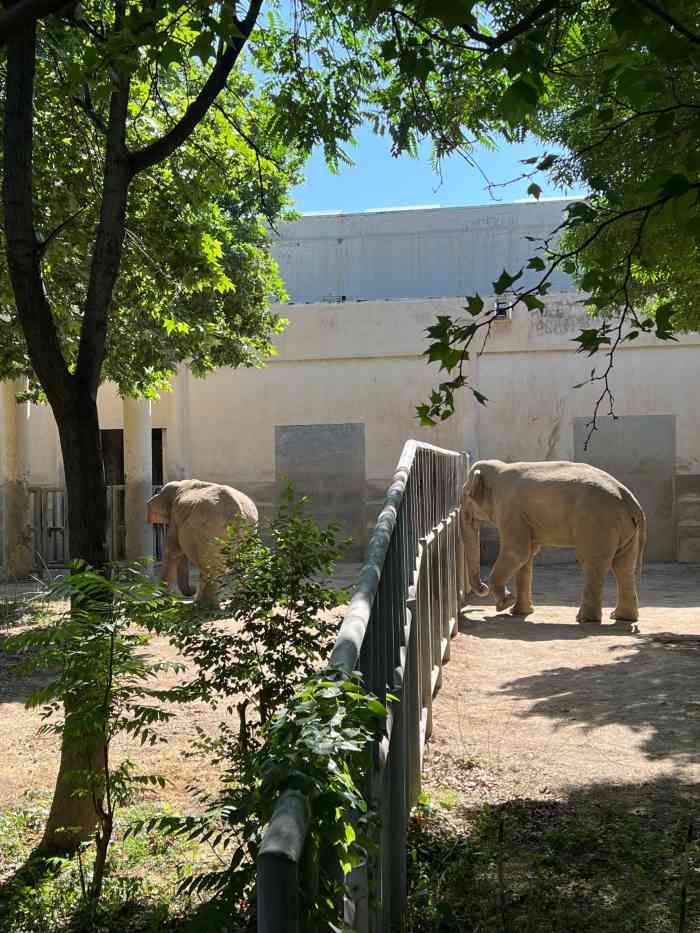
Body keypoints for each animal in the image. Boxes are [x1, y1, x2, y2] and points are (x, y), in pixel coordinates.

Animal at [146, 476, 258, 608]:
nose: (192, 589)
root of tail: (238, 512)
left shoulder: (175, 518)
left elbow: (173, 552)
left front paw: (160, 604)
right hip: (249, 531)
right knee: (244, 563)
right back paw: (237, 604)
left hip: (212, 532)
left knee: (209, 565)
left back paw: (205, 606)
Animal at [462, 456, 648, 624]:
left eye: (466, 495)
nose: (483, 588)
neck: (500, 468)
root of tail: (631, 501)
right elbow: (527, 555)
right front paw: (519, 612)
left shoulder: (510, 509)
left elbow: (517, 552)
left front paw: (504, 605)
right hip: (624, 527)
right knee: (623, 566)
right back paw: (622, 617)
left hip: (598, 523)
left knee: (593, 563)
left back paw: (585, 620)